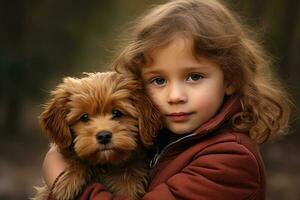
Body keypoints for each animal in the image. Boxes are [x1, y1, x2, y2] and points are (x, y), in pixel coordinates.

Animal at [33, 72, 162, 200]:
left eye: (117, 113)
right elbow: (77, 160)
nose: (104, 136)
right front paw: (69, 181)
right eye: (84, 117)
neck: (105, 164)